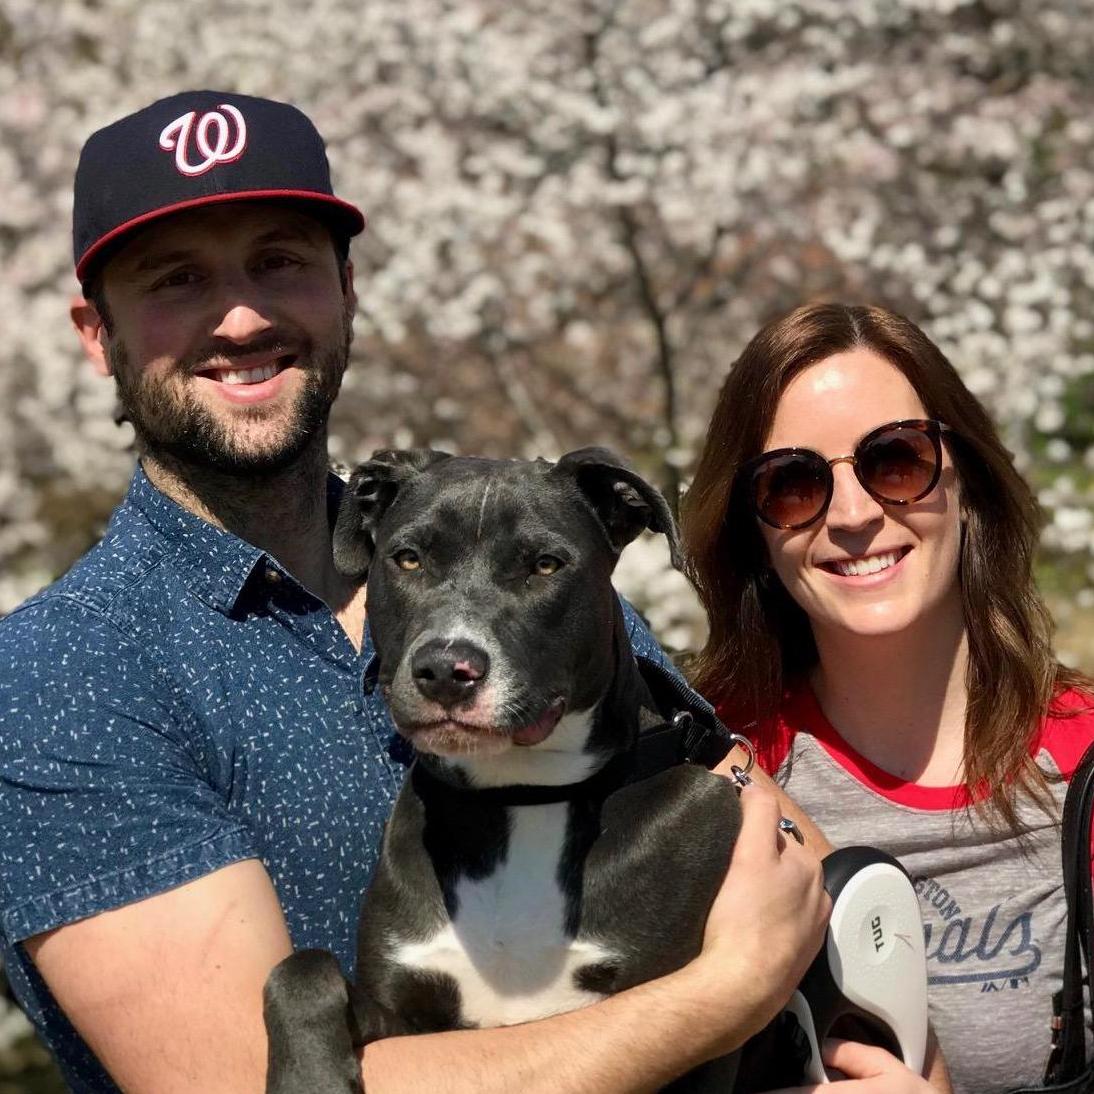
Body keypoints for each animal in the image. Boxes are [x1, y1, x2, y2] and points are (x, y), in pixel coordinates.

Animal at [266, 448, 761, 1089]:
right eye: (407, 558)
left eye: (545, 565)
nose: (446, 670)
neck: (521, 795)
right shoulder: (406, 1009)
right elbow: (300, 970)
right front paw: (309, 1079)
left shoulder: (693, 1008)